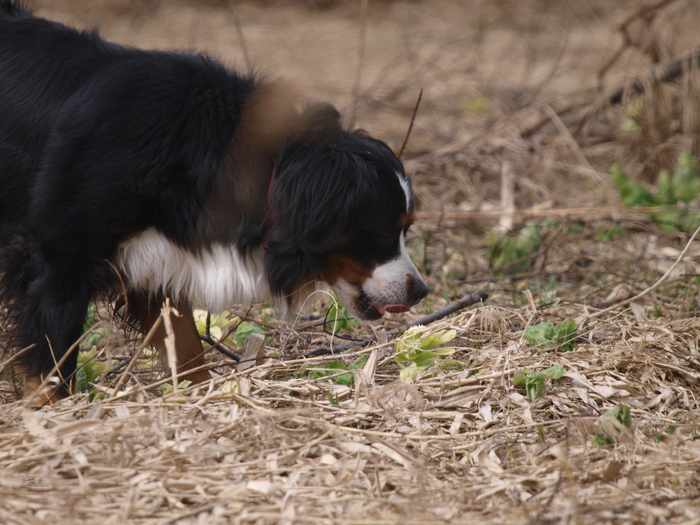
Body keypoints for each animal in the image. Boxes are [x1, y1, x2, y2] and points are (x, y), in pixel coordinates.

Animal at [0, 1, 426, 402]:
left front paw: (200, 394)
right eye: (383, 234)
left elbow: (186, 346)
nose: (420, 291)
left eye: (406, 229)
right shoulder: (58, 262)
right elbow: (52, 362)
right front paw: (52, 414)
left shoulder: (158, 258)